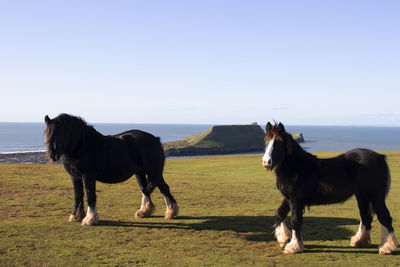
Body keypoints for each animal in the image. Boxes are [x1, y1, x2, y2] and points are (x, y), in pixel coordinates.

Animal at [43, 113, 178, 226]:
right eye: (48, 133)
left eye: (62, 133)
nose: (53, 155)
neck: (82, 145)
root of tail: (155, 139)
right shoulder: (74, 177)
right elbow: (78, 196)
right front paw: (75, 216)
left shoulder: (88, 177)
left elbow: (90, 196)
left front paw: (90, 219)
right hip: (140, 173)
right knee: (144, 190)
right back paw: (144, 212)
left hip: (154, 172)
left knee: (164, 189)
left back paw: (171, 213)